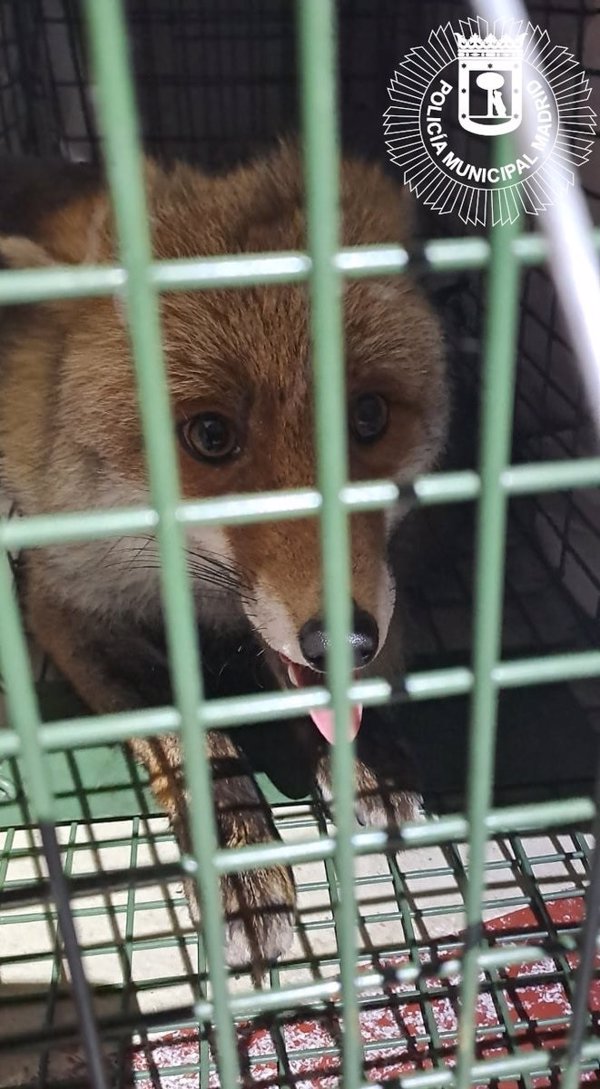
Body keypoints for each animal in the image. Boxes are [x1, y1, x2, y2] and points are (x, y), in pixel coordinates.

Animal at [0, 144, 446, 971]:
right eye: (210, 435)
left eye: (368, 415)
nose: (342, 639)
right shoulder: (67, 601)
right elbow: (192, 737)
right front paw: (239, 854)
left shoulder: (388, 576)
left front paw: (372, 757)